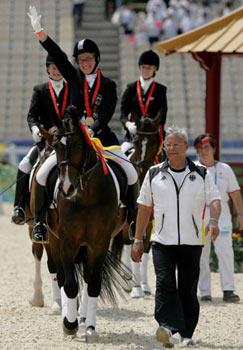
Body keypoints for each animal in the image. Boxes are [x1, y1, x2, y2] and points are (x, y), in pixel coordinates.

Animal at [44, 106, 131, 342]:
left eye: (76, 144)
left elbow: (93, 284)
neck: (87, 196)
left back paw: (82, 317)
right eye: (56, 146)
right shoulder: (67, 241)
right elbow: (70, 284)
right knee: (62, 276)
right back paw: (69, 315)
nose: (66, 188)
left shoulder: (99, 243)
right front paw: (69, 324)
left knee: (85, 276)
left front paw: (90, 327)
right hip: (53, 240)